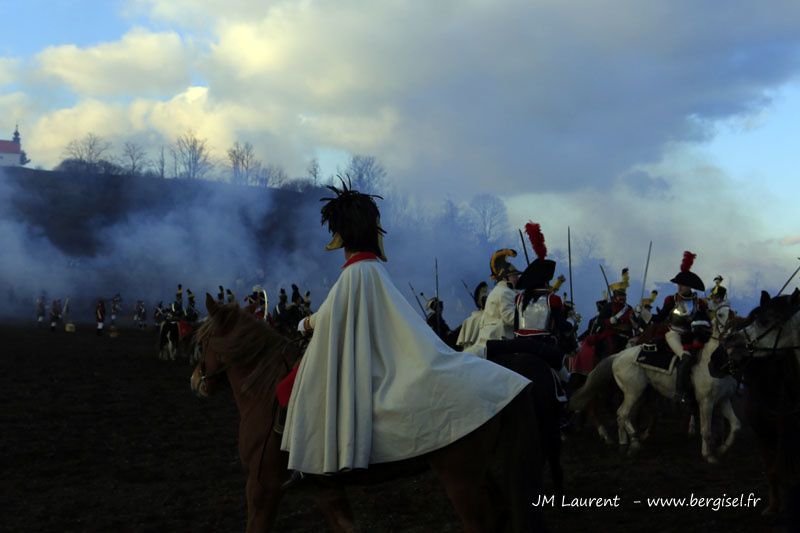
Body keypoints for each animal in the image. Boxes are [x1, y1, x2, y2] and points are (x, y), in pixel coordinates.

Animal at [191, 296, 548, 532]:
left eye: (202, 340)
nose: (196, 381)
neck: (264, 390)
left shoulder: (262, 487)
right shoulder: (325, 488)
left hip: (461, 480)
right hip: (478, 473)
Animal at [572, 338, 740, 464]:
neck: (713, 363)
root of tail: (618, 355)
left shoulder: (723, 400)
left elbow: (736, 424)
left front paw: (722, 449)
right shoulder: (706, 402)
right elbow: (706, 430)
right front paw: (708, 455)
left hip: (639, 394)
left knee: (624, 416)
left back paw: (624, 444)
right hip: (633, 392)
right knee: (622, 413)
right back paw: (634, 443)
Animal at [712, 288, 800, 516]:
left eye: (764, 321)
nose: (713, 361)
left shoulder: (786, 436)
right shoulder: (762, 434)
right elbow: (772, 472)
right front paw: (773, 507)